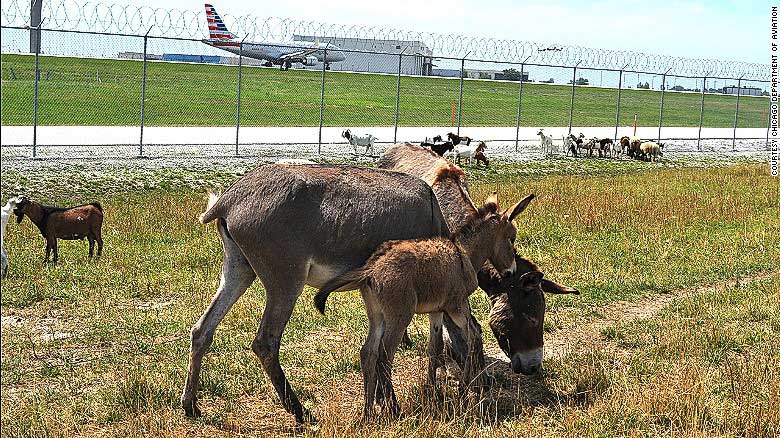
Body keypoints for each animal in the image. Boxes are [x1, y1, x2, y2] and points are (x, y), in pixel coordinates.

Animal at [314, 193, 532, 420]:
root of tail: (371, 268)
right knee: (384, 356)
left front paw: (432, 389)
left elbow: (435, 347)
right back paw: (393, 408)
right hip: (400, 317)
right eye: (512, 238)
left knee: (368, 353)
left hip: (377, 315)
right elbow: (474, 335)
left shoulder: (436, 311)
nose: (510, 272)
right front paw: (463, 389)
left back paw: (368, 412)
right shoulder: (457, 306)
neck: (464, 253)